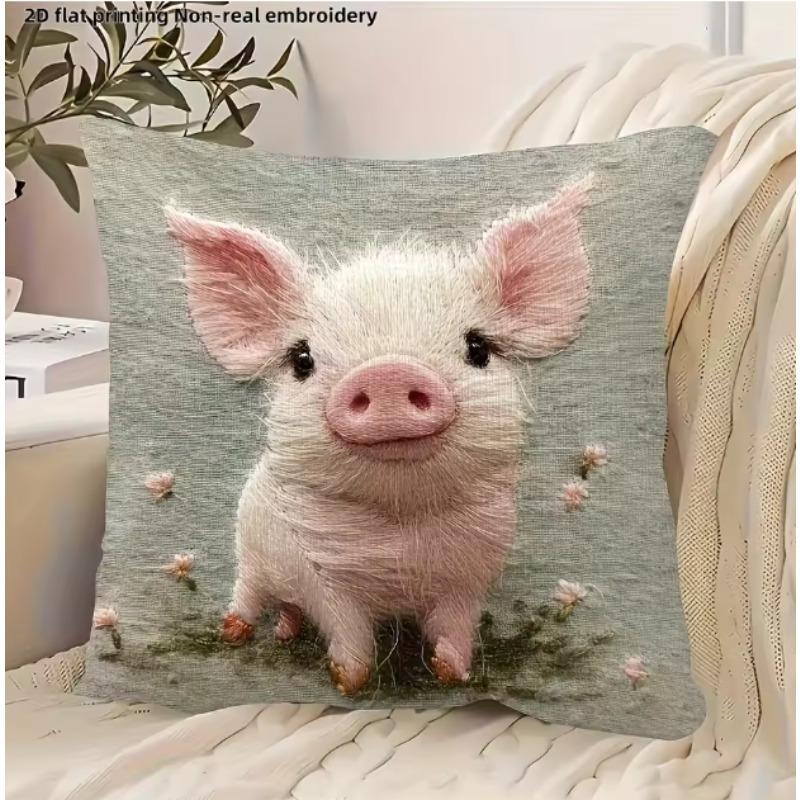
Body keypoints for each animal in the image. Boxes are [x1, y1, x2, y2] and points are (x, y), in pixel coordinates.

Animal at [165, 176, 591, 695]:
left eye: (478, 347)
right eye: (302, 359)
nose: (388, 372)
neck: (400, 533)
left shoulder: (471, 578)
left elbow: (455, 627)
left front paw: (455, 676)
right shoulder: (323, 576)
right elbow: (348, 630)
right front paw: (350, 683)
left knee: (286, 607)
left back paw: (285, 635)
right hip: (249, 548)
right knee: (249, 592)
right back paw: (234, 634)